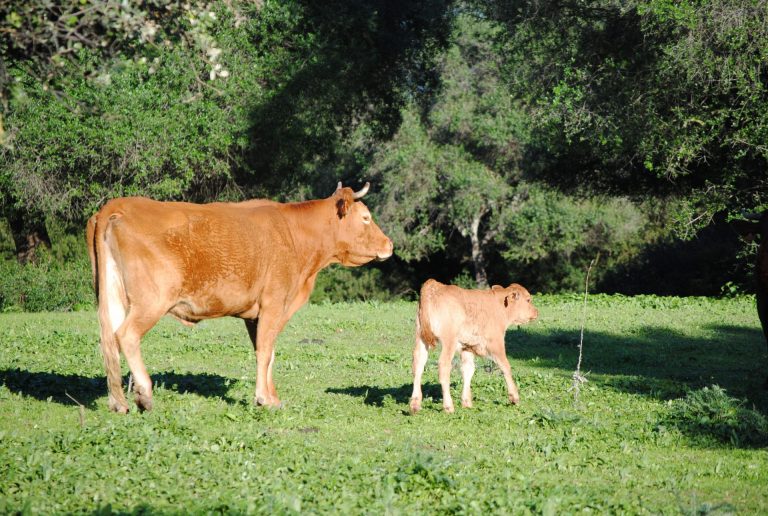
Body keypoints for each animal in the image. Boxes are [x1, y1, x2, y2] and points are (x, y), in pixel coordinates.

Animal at [87, 183, 392, 414]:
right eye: (366, 217)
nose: (389, 244)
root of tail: (116, 206)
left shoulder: (255, 314)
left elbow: (267, 353)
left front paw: (273, 397)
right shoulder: (274, 303)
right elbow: (266, 351)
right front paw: (264, 399)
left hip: (112, 295)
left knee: (108, 341)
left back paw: (118, 402)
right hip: (152, 300)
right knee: (126, 335)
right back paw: (144, 394)